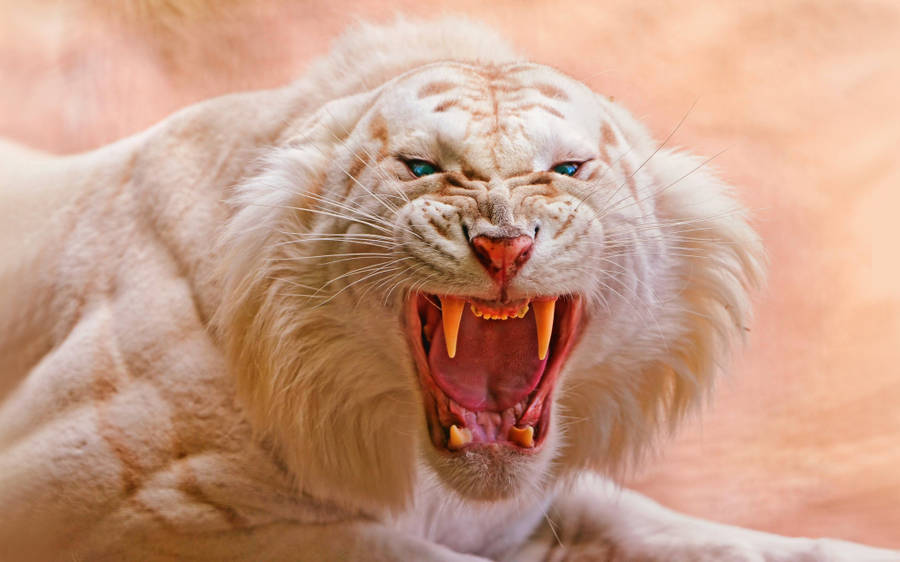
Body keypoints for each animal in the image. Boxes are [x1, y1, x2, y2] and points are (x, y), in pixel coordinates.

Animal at [0, 16, 896, 561]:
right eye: (421, 166)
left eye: (568, 169)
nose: (504, 242)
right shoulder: (83, 495)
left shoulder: (540, 506)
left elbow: (687, 527)